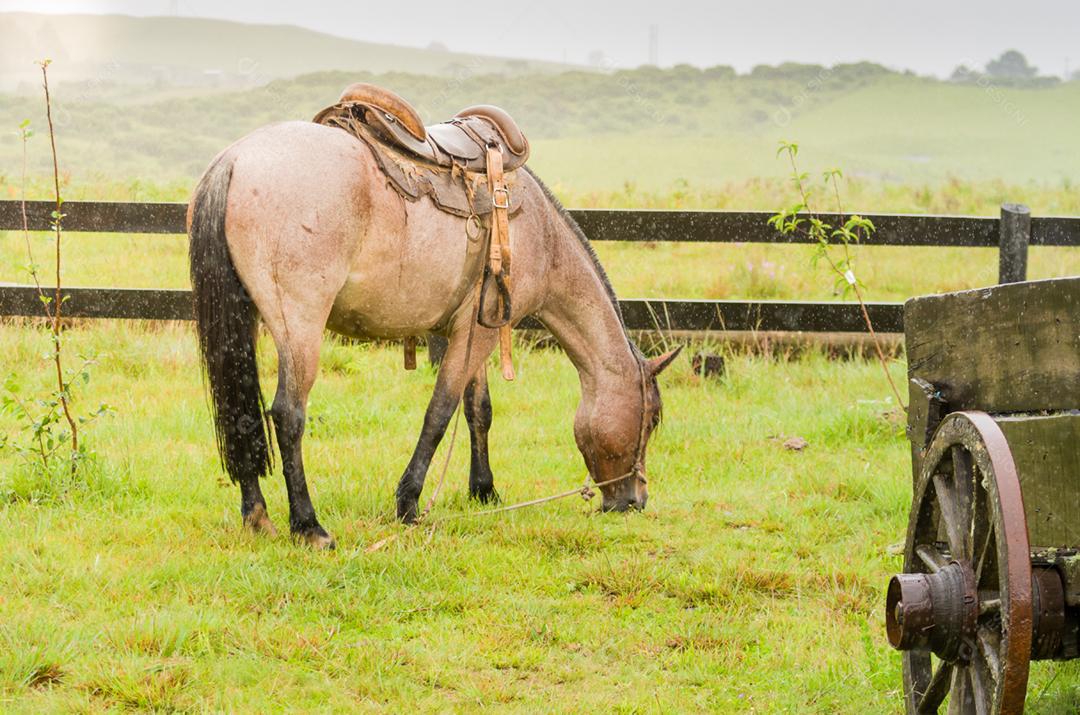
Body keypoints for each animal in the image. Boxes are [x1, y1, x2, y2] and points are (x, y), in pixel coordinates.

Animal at [188, 119, 680, 548]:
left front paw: (484, 490)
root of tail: (235, 160)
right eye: (652, 418)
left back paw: (258, 516)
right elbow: (440, 413)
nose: (634, 499)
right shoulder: (477, 334)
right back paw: (309, 526)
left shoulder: (474, 329)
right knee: (288, 415)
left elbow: (478, 410)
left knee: (242, 414)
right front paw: (408, 503)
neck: (539, 233)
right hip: (301, 329)